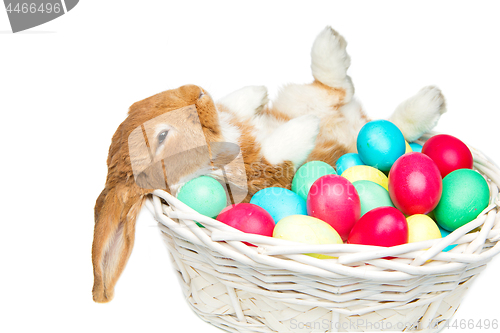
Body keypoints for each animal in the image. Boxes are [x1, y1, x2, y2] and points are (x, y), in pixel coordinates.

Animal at [93, 25, 446, 300]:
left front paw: (253, 93)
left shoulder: (234, 121)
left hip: (302, 97)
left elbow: (234, 109)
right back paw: (426, 102)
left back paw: (334, 47)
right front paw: (305, 129)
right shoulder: (262, 178)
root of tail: (351, 125)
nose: (198, 92)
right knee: (383, 121)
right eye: (163, 135)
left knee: (339, 89)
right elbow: (275, 154)